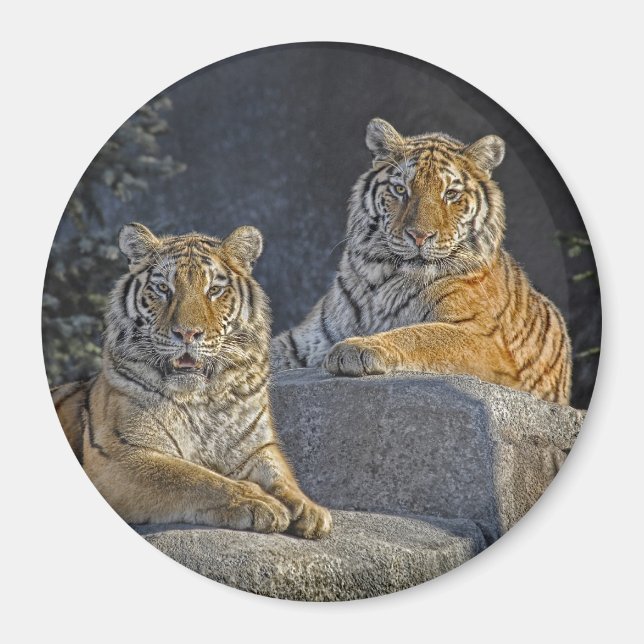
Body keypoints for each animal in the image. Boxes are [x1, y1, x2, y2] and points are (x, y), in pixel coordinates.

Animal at [52, 222, 332, 538]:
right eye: (164, 288)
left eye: (214, 290)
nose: (188, 333)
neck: (204, 398)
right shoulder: (121, 453)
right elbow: (193, 478)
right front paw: (258, 500)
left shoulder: (257, 448)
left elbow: (283, 478)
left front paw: (311, 510)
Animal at [271, 118, 572, 405]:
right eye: (400, 189)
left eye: (450, 194)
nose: (419, 236)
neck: (385, 280)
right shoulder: (307, 338)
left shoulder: (486, 342)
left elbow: (420, 335)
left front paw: (357, 348)